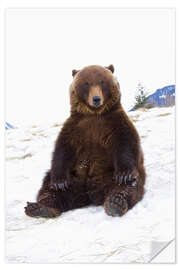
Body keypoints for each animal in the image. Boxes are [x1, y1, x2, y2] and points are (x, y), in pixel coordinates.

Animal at [25, 64, 146, 218]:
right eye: (86, 83)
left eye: (102, 82)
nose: (96, 99)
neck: (94, 114)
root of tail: (90, 194)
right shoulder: (75, 128)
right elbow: (62, 150)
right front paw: (59, 182)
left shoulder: (115, 123)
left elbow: (126, 143)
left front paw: (124, 175)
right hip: (74, 177)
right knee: (50, 189)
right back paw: (39, 207)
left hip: (110, 174)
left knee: (128, 186)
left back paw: (116, 203)